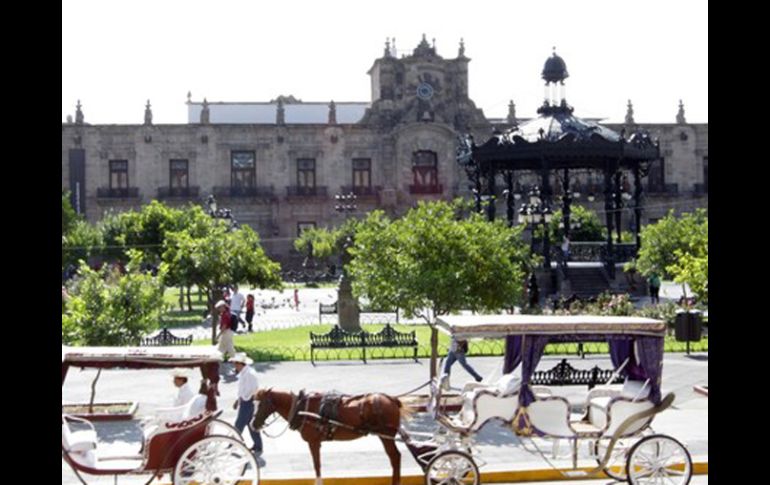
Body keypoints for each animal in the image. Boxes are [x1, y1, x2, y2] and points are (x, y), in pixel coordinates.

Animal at [250, 386, 408, 484]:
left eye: (261, 404)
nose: (253, 424)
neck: (301, 408)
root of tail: (392, 399)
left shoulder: (313, 442)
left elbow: (317, 465)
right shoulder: (316, 443)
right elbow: (317, 464)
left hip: (385, 435)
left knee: (395, 457)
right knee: (395, 457)